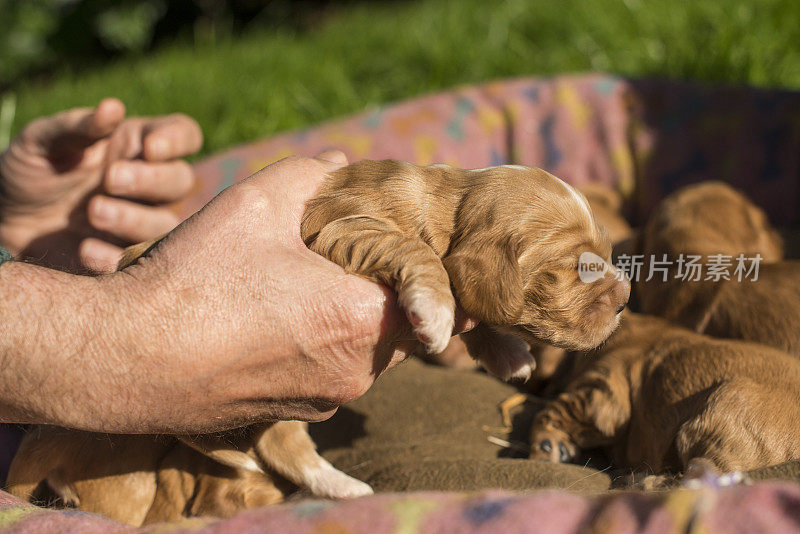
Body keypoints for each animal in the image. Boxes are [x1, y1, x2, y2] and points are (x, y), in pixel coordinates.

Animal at [304, 160, 632, 382]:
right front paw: (434, 312)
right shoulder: (342, 226)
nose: (625, 300)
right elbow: (416, 248)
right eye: (581, 268)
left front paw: (509, 354)